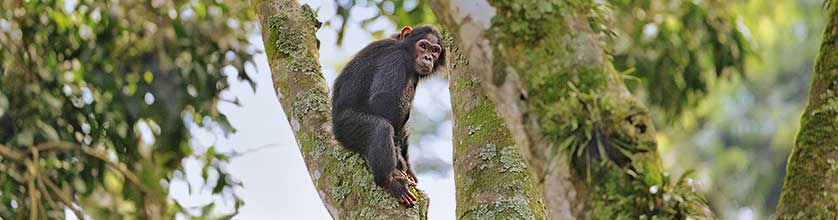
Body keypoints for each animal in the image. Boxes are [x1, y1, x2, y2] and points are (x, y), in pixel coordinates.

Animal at [332, 24, 446, 207]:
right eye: (423, 46)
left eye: (435, 50)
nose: (428, 57)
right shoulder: (394, 59)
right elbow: (382, 101)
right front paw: (398, 159)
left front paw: (407, 166)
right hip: (346, 127)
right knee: (380, 127)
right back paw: (390, 181)